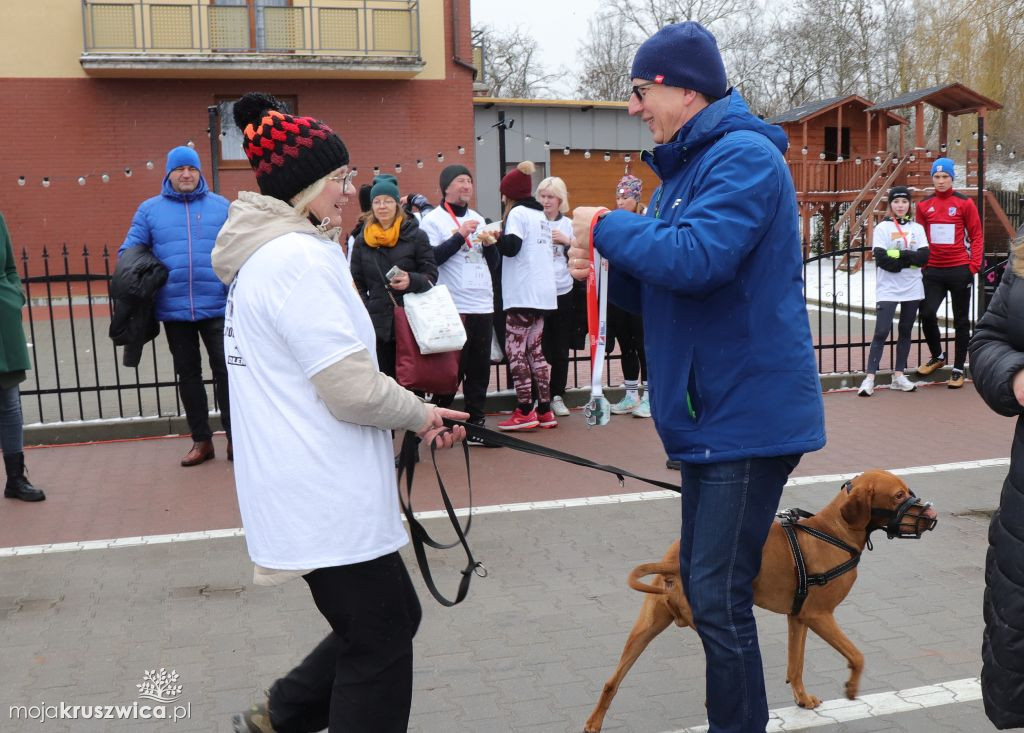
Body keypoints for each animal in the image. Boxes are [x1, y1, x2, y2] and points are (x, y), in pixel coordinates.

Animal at [585, 468, 937, 733]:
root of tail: (673, 565)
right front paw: (851, 686)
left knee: (610, 682)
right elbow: (858, 655)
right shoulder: (821, 616)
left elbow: (796, 665)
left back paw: (594, 722)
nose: (932, 514)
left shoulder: (798, 618)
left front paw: (802, 699)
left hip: (645, 629)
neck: (834, 531)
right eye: (899, 495)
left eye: (907, 491)